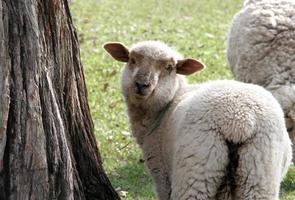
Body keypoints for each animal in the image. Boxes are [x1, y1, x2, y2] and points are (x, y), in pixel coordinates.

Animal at [103, 41, 292, 200]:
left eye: (169, 67)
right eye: (132, 60)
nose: (141, 84)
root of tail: (240, 120)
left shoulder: (161, 173)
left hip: (197, 168)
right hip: (260, 172)